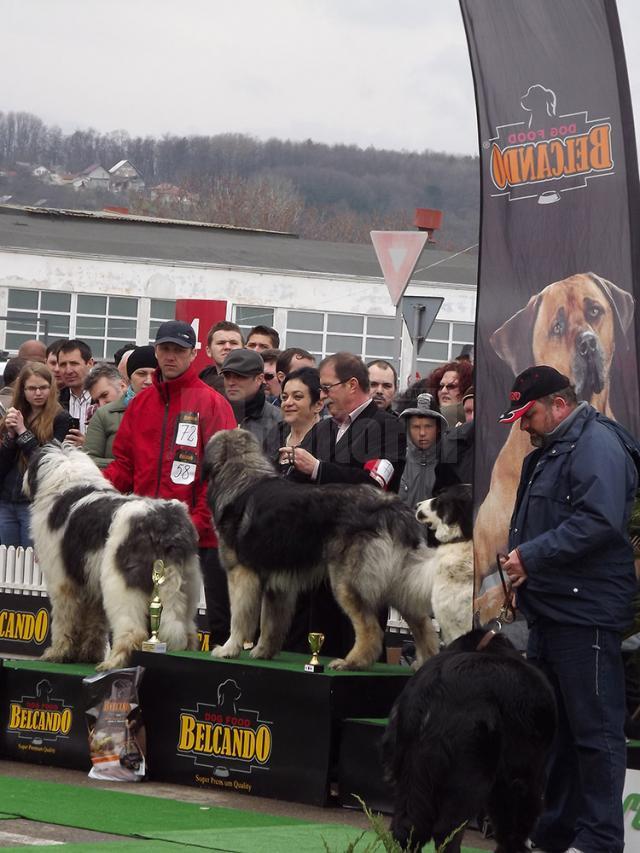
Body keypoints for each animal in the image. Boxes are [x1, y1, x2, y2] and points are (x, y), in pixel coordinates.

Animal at [25, 442, 201, 668]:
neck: (68, 485)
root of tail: (163, 520)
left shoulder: (63, 583)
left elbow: (64, 620)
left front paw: (57, 653)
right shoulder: (92, 584)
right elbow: (95, 621)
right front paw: (88, 653)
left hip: (122, 584)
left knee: (133, 630)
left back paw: (113, 663)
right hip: (187, 583)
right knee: (188, 630)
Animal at [382, 628, 556, 848]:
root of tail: (433, 693)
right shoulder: (525, 773)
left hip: (408, 771)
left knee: (407, 829)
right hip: (470, 778)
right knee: (447, 831)